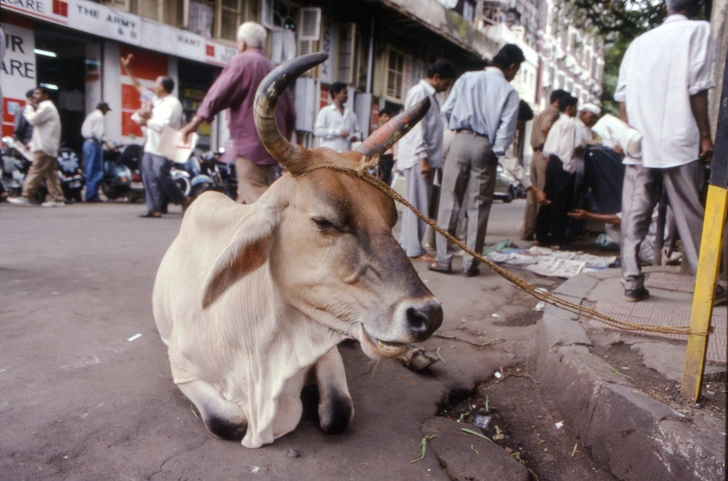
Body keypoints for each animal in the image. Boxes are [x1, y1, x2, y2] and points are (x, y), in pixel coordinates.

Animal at [154, 52, 444, 446]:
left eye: (392, 217)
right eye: (324, 221)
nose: (428, 315)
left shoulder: (325, 351)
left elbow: (338, 412)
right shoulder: (182, 370)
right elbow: (229, 423)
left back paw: (418, 356)